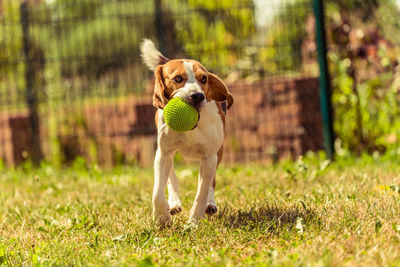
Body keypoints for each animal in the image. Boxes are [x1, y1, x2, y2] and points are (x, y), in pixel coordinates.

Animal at [141, 39, 233, 226]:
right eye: (178, 78)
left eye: (204, 79)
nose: (197, 95)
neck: (192, 127)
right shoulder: (163, 153)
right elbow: (157, 192)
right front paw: (161, 217)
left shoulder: (209, 157)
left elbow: (202, 192)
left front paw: (193, 222)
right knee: (171, 176)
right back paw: (174, 202)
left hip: (218, 153)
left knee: (210, 182)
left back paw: (210, 204)